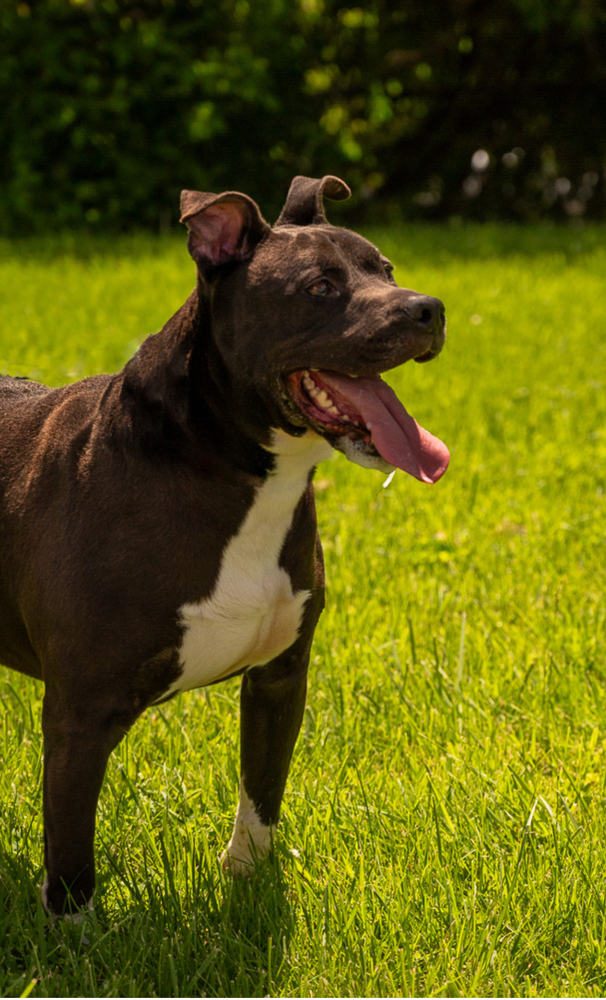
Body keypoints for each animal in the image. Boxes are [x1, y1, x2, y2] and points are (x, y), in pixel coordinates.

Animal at [1, 174, 452, 916]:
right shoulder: (80, 711)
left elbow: (261, 791)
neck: (232, 468)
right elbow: (69, 847)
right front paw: (74, 929)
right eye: (320, 287)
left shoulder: (280, 675)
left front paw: (248, 875)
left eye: (386, 270)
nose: (429, 309)